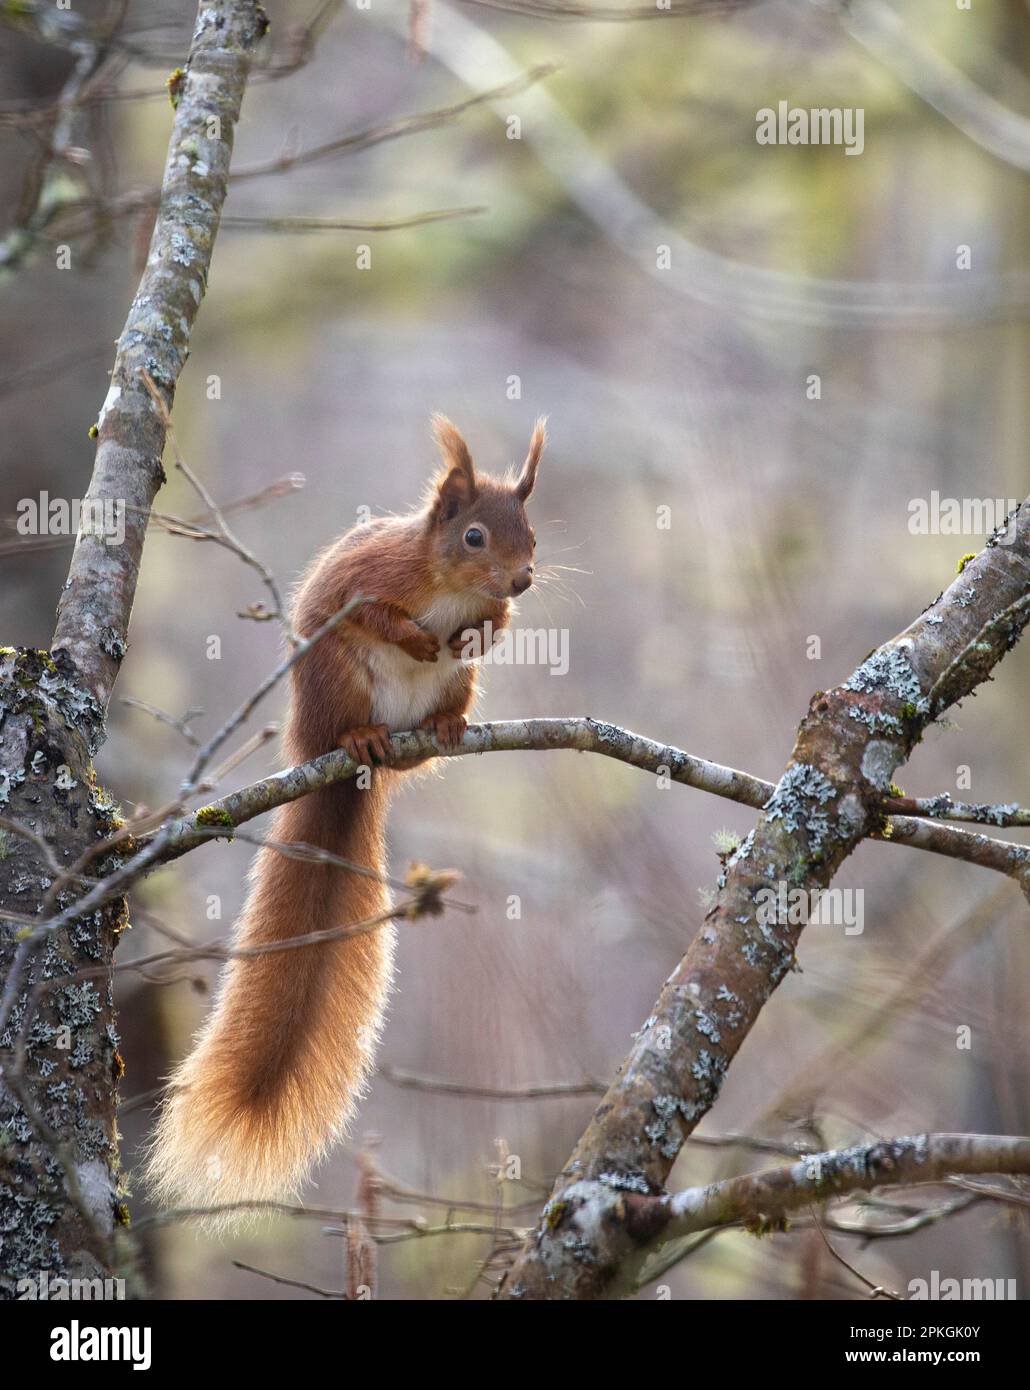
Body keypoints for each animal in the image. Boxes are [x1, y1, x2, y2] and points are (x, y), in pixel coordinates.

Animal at [147, 414, 547, 1217]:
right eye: (475, 537)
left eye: (533, 535)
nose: (523, 577)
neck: (447, 585)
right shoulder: (371, 578)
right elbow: (374, 611)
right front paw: (419, 635)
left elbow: (495, 625)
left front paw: (481, 627)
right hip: (337, 681)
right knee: (350, 716)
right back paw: (360, 737)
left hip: (456, 688)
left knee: (440, 718)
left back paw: (445, 728)